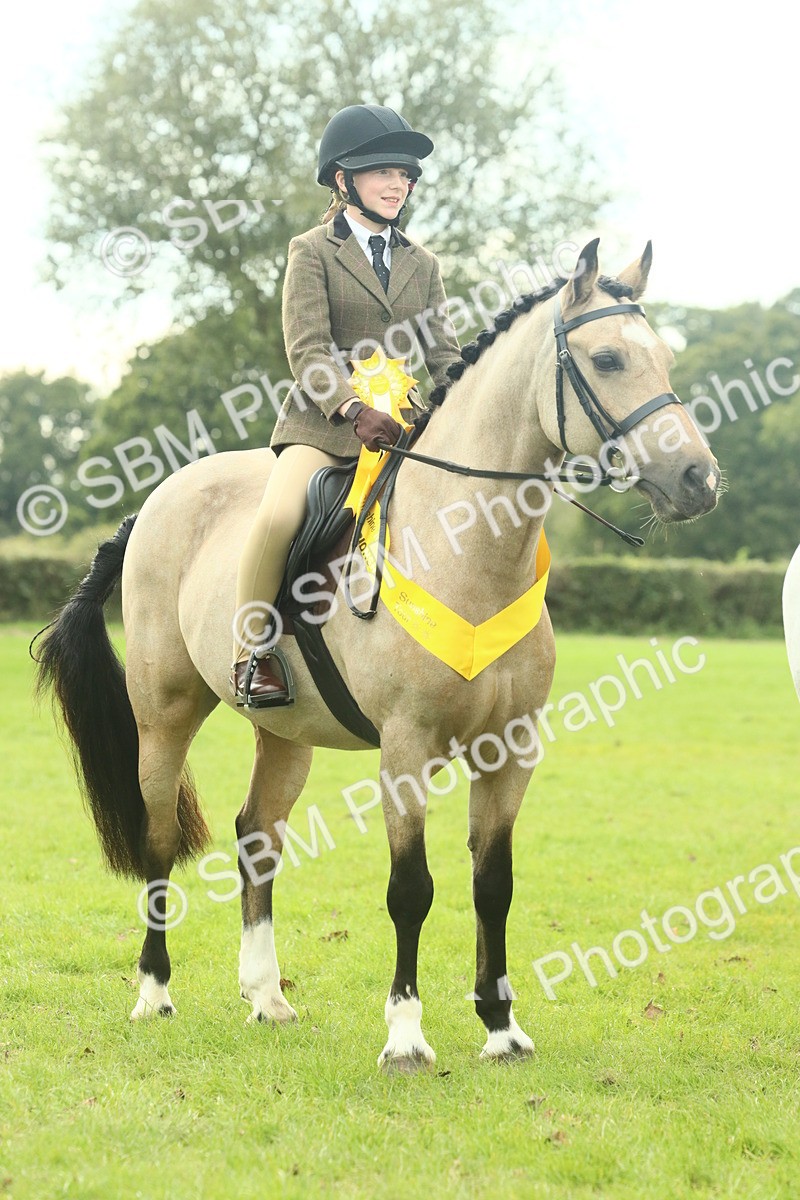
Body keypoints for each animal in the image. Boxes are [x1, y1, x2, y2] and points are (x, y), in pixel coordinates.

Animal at [35, 239, 720, 1072]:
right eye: (610, 358)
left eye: (666, 356)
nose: (699, 479)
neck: (469, 547)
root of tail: (159, 499)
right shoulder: (406, 746)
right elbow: (411, 889)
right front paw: (405, 1036)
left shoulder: (512, 748)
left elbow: (494, 883)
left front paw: (502, 1028)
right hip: (165, 711)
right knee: (160, 835)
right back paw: (154, 992)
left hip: (285, 732)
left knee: (257, 836)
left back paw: (267, 997)